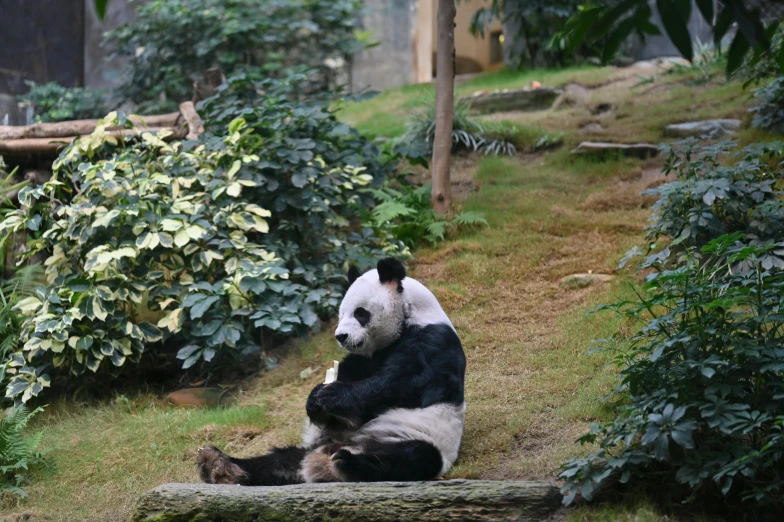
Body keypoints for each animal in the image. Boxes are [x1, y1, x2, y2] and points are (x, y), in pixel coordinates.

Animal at [196, 256, 466, 484]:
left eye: (360, 313)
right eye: (341, 313)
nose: (341, 336)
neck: (412, 314)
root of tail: (325, 454)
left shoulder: (434, 341)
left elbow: (404, 382)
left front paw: (333, 396)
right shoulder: (368, 356)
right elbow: (352, 371)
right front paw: (315, 400)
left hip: (413, 437)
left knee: (413, 457)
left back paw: (348, 464)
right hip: (311, 448)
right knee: (278, 461)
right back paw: (220, 465)